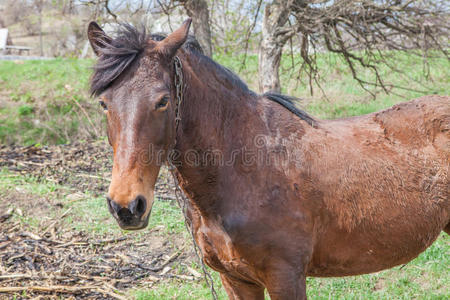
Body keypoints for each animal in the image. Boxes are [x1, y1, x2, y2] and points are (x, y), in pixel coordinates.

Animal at [86, 19, 448, 298]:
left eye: (162, 101)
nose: (127, 206)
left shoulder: (285, 277)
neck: (248, 168)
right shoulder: (235, 280)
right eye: (104, 103)